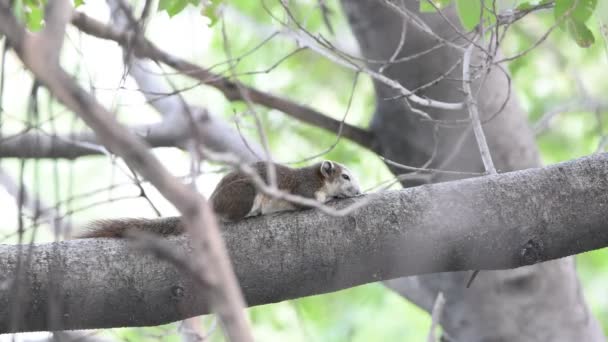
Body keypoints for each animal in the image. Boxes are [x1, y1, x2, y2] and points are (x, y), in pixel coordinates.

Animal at [77, 160, 360, 238]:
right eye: (345, 176)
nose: (358, 191)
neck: (319, 179)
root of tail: (211, 204)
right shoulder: (303, 188)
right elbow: (309, 201)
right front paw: (332, 200)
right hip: (245, 193)